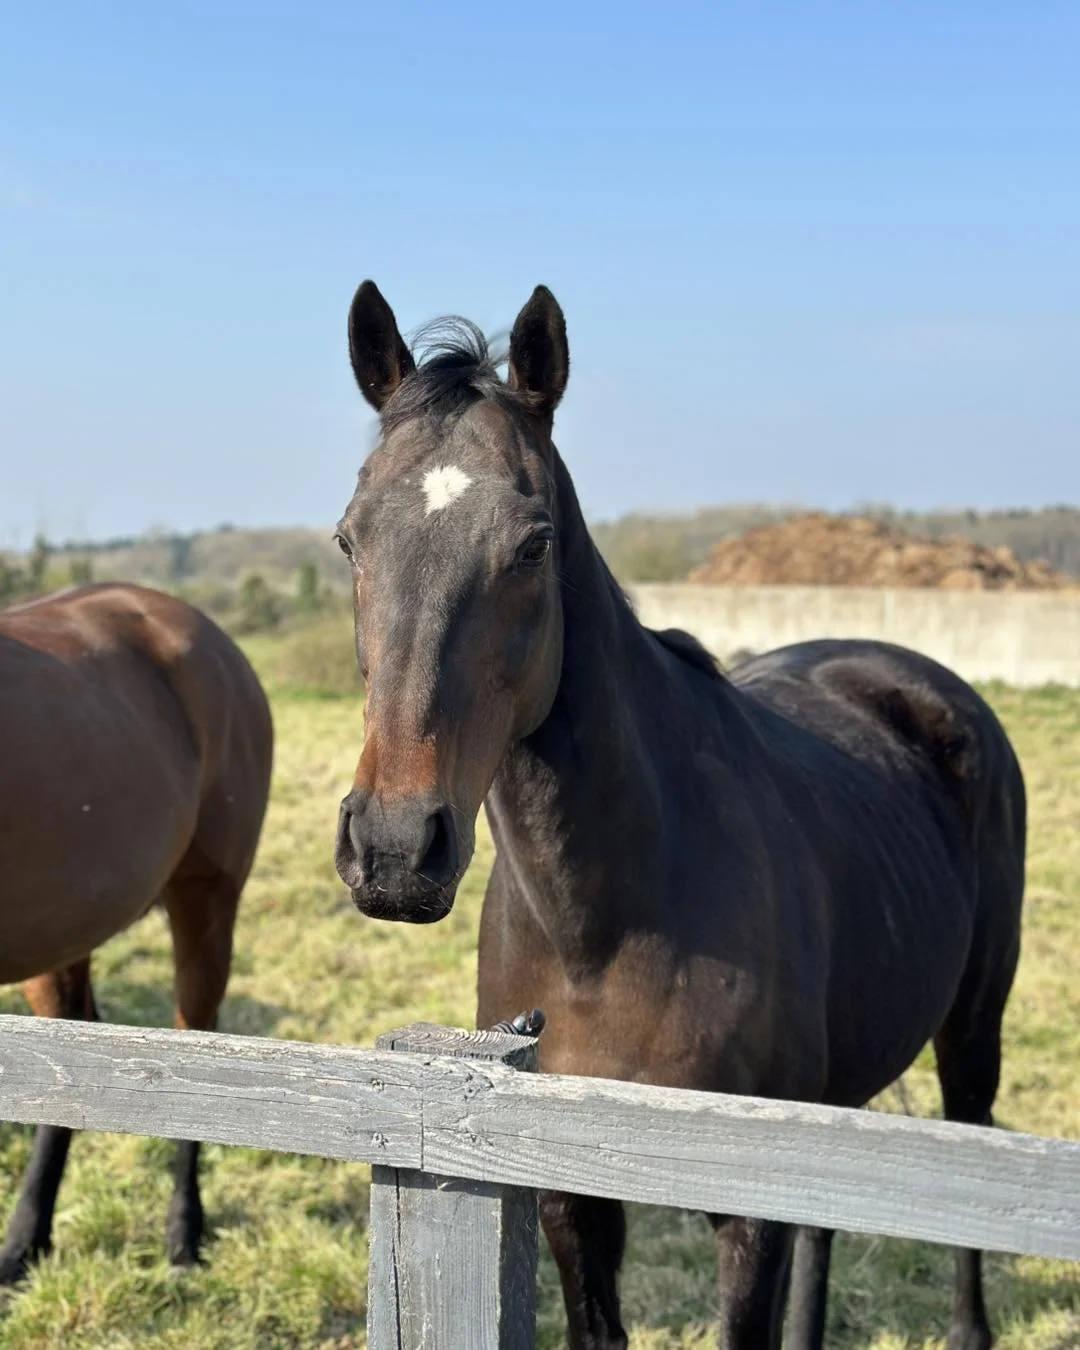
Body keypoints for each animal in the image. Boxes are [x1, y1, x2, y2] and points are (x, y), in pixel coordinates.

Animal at [331, 281, 1025, 1350]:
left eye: (532, 542)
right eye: (350, 537)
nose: (396, 848)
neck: (607, 928)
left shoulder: (743, 1210)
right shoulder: (564, 1195)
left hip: (974, 1021)